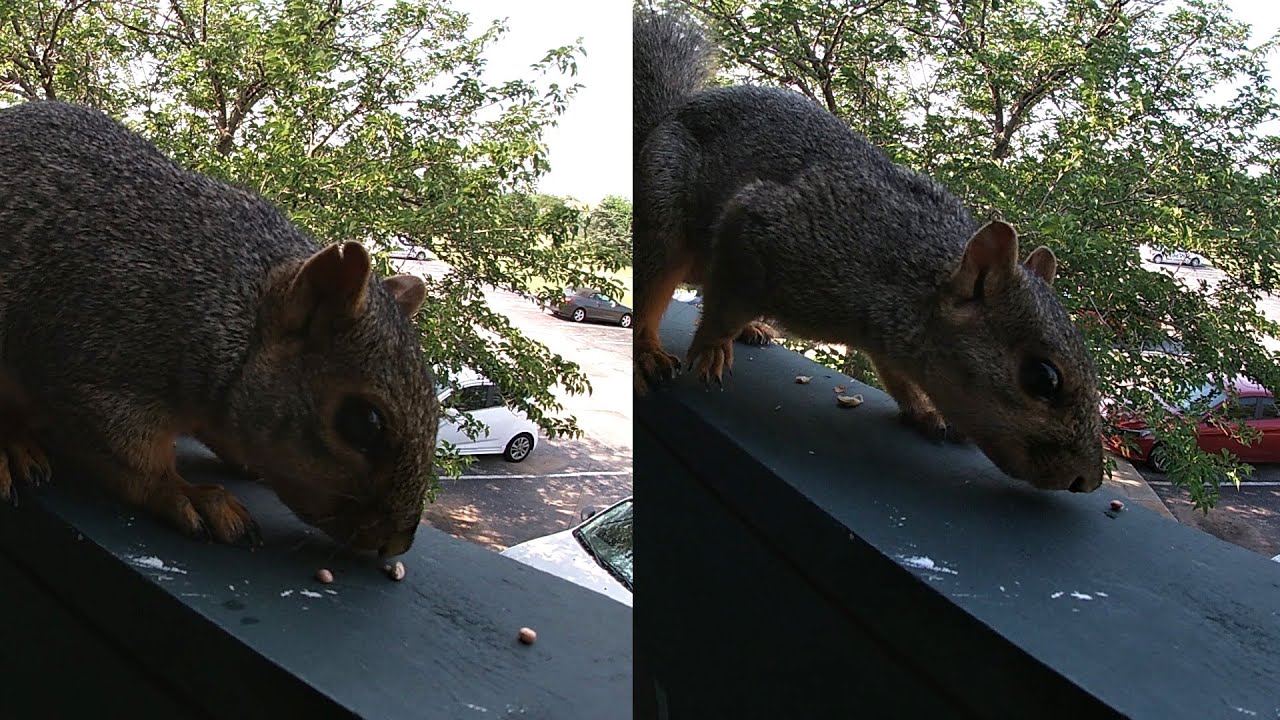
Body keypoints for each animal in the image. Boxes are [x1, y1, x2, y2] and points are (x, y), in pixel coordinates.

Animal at [0, 101, 440, 556]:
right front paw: (189, 494)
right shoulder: (98, 362)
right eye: (362, 424)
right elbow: (130, 457)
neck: (240, 311)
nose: (396, 543)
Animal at [632, 10, 1104, 494]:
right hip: (664, 208)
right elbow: (723, 305)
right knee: (654, 284)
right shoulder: (770, 230)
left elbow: (895, 374)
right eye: (1042, 378)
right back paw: (649, 352)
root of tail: (665, 119)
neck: (913, 275)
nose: (1087, 479)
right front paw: (711, 346)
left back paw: (752, 328)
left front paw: (925, 411)